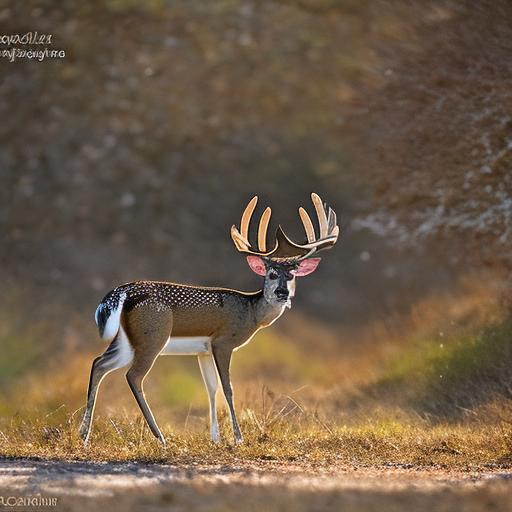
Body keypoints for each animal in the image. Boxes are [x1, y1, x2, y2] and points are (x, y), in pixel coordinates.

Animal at [78, 192, 338, 444]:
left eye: (292, 275)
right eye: (271, 274)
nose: (282, 293)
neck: (250, 311)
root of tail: (121, 293)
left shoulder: (202, 350)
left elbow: (210, 388)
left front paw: (215, 438)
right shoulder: (223, 342)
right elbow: (227, 387)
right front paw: (237, 437)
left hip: (126, 340)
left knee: (99, 363)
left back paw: (84, 434)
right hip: (152, 336)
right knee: (133, 376)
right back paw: (160, 437)